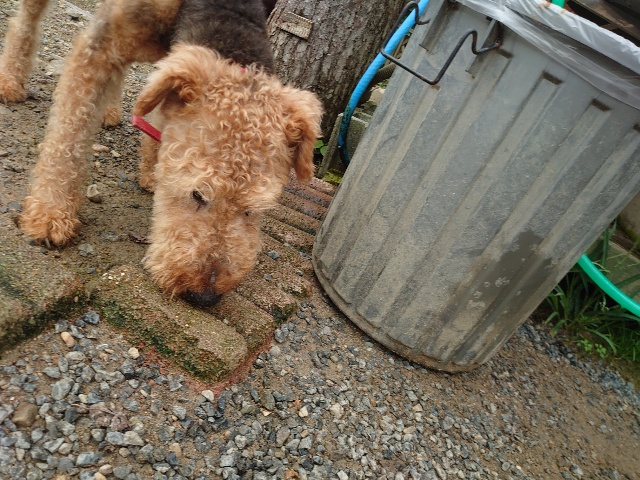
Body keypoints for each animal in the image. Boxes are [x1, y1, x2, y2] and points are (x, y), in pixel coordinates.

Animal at [0, 0, 323, 307]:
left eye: (253, 209)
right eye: (198, 194)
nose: (204, 296)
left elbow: (159, 117)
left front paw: (151, 171)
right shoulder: (100, 47)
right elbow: (69, 133)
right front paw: (51, 213)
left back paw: (109, 111)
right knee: (26, 21)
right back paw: (10, 80)